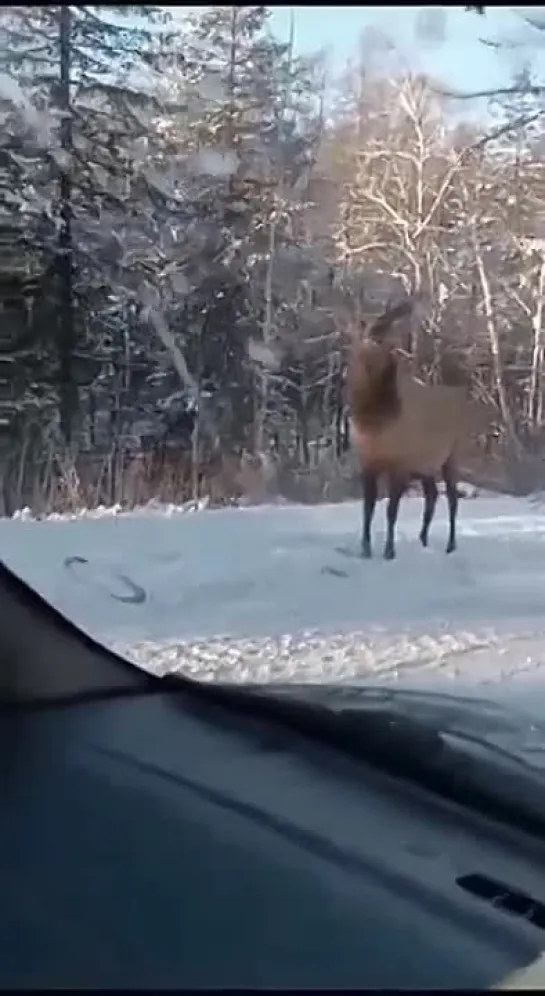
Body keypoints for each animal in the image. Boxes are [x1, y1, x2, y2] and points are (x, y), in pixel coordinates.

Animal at [348, 296, 468, 560]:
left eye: (387, 337)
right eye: (370, 333)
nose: (392, 362)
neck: (373, 421)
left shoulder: (399, 465)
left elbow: (391, 511)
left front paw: (389, 551)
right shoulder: (368, 462)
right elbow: (368, 508)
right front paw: (365, 549)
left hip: (452, 456)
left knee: (452, 499)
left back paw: (451, 545)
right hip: (425, 466)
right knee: (432, 496)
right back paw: (423, 539)